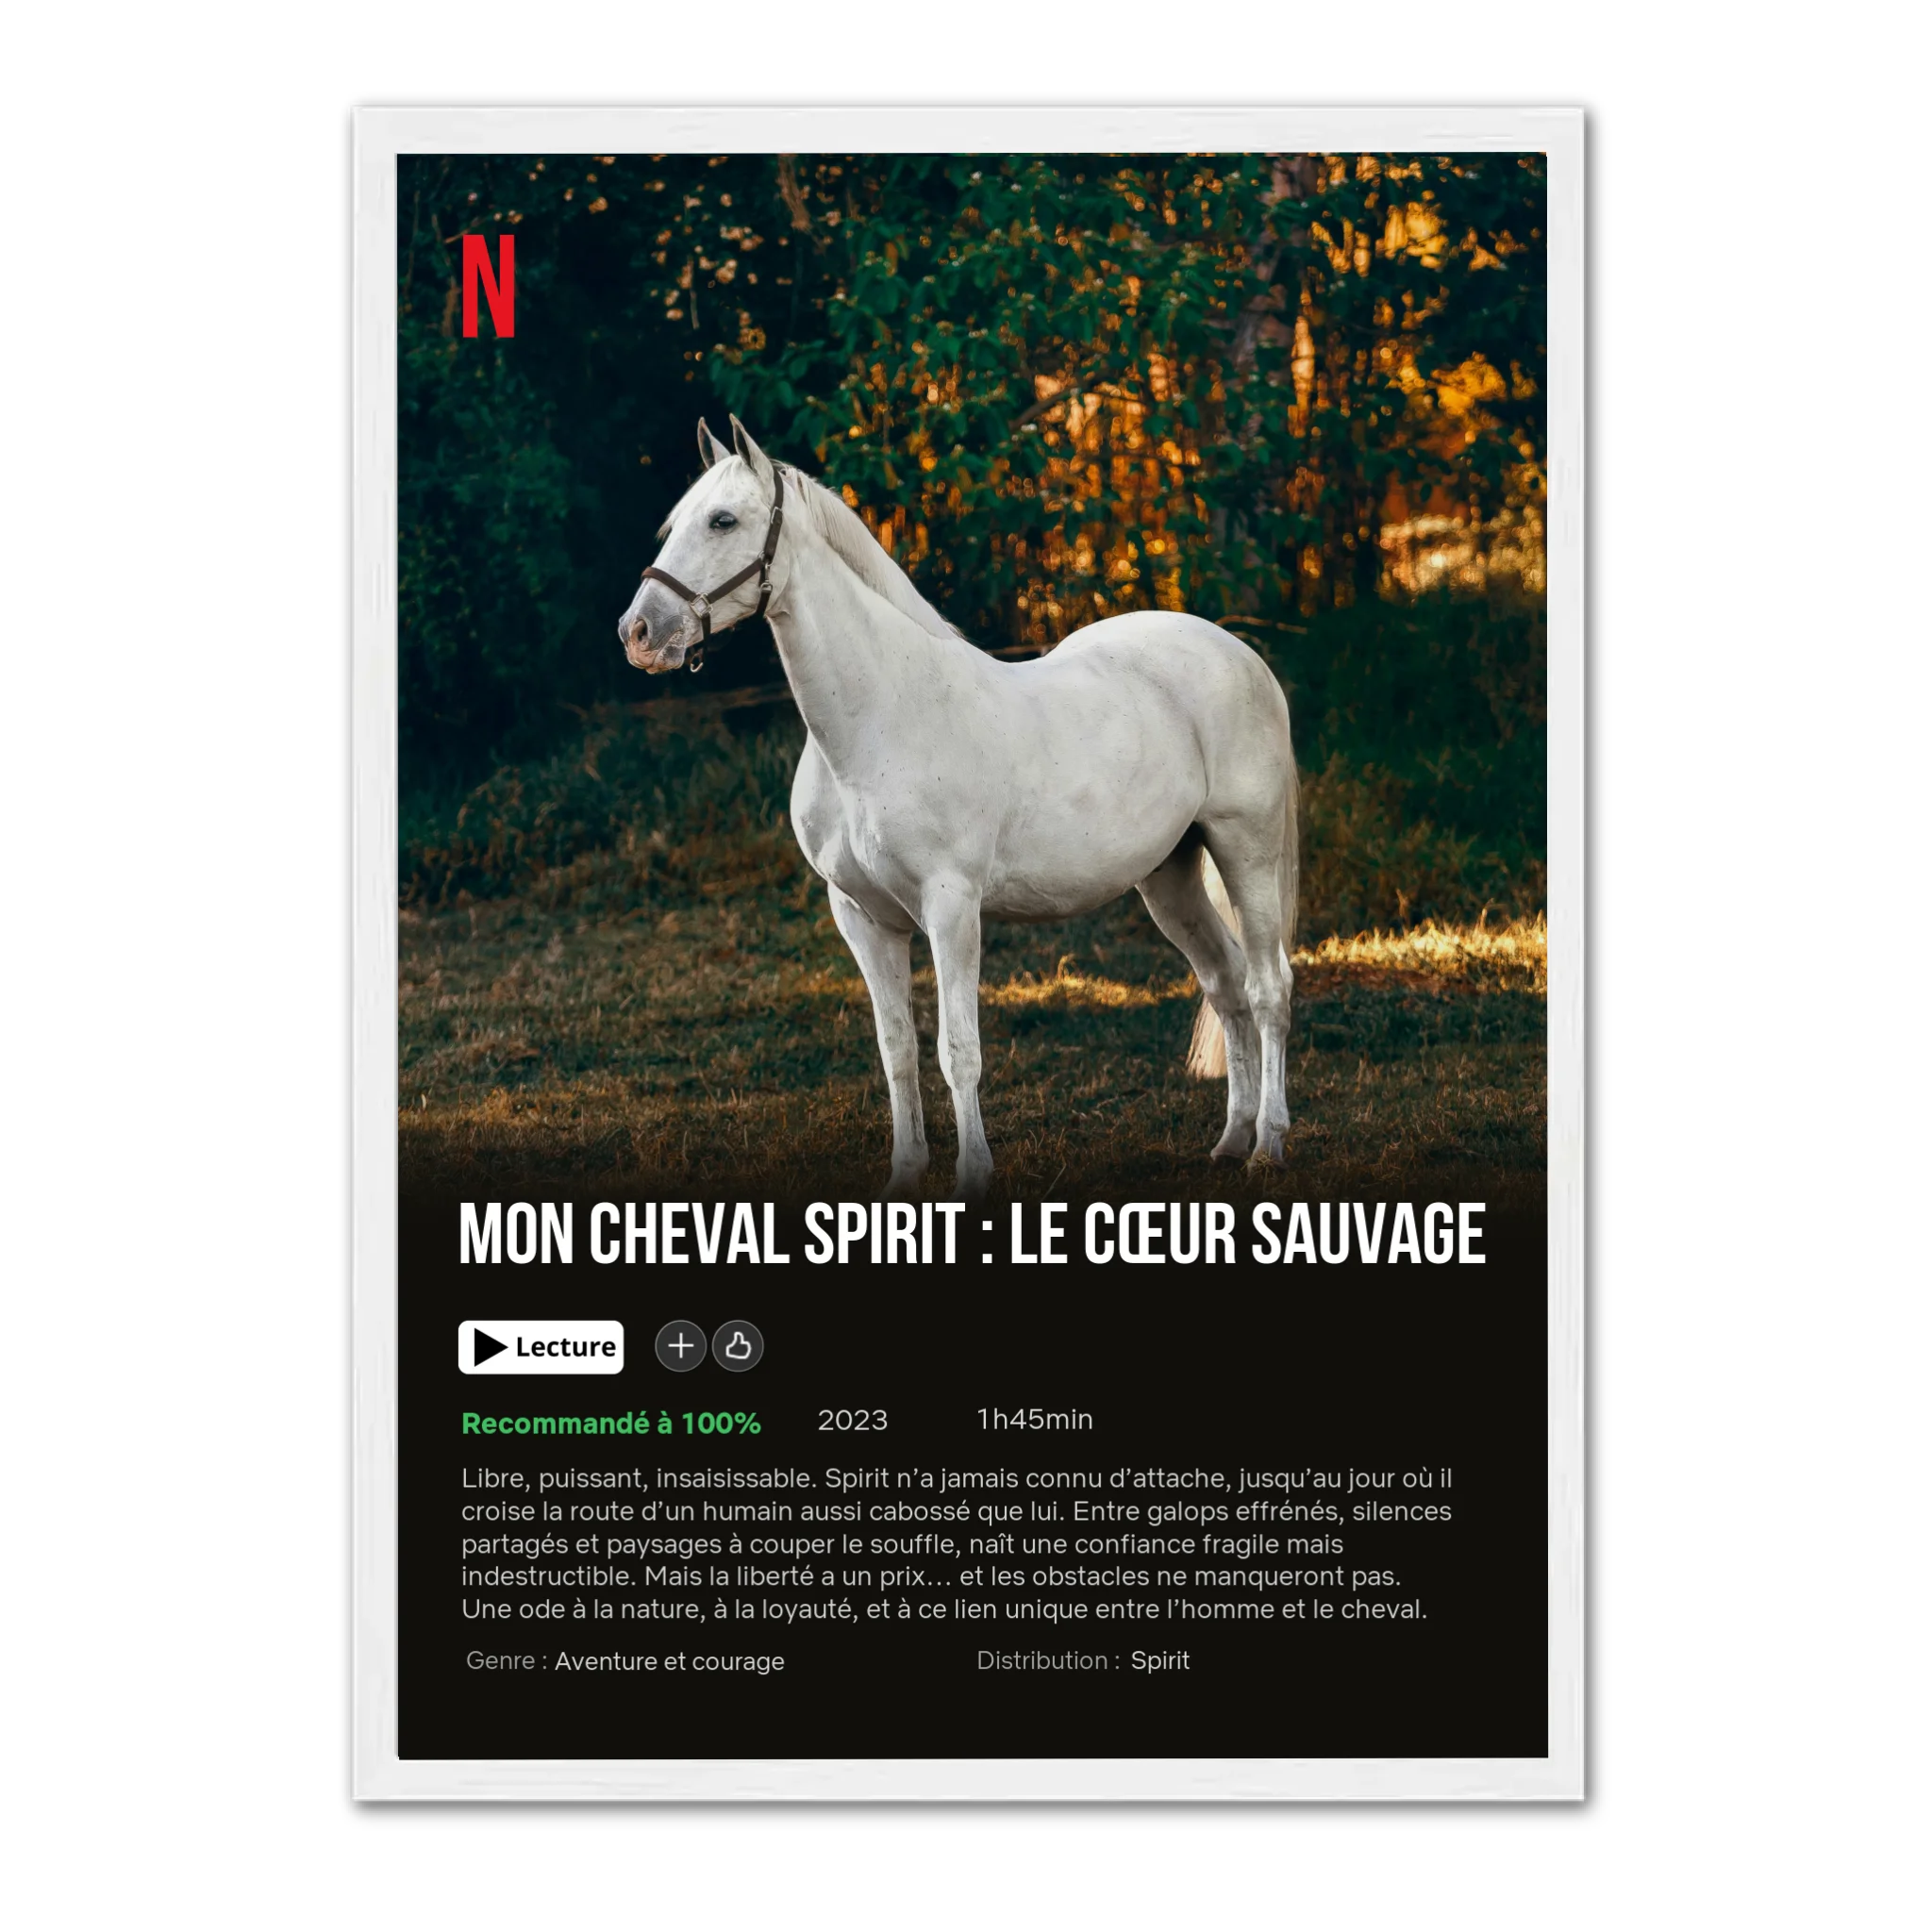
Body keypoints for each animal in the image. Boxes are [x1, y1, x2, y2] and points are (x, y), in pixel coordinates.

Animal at [617, 415, 1299, 1204]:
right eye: (675, 523)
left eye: (723, 520)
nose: (638, 633)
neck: (879, 719)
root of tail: (1241, 654)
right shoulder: (861, 916)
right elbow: (897, 1050)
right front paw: (904, 1174)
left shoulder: (950, 908)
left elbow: (958, 1050)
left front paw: (972, 1178)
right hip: (1170, 876)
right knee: (1225, 986)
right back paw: (1229, 1141)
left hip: (1245, 851)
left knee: (1268, 987)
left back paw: (1268, 1145)